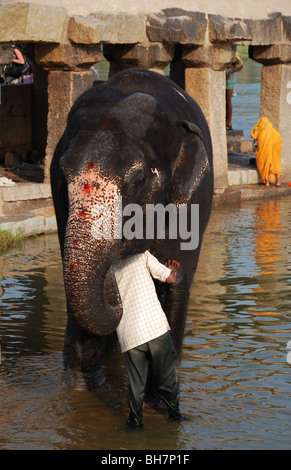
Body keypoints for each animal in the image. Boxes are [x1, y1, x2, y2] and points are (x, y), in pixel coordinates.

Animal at [50, 67, 214, 396]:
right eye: (62, 172)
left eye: (138, 180)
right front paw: (78, 390)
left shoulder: (192, 206)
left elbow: (176, 286)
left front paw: (156, 402)